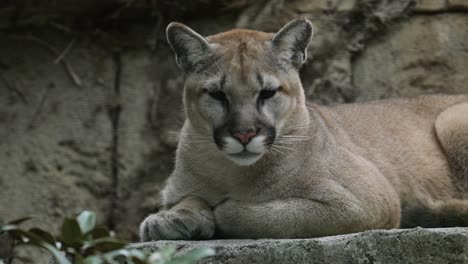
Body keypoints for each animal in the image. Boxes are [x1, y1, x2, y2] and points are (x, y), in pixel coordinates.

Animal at [139, 17, 468, 240]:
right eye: (217, 94)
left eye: (268, 92)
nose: (244, 134)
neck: (232, 172)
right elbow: (185, 197)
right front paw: (170, 218)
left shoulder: (366, 200)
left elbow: (273, 215)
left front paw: (215, 213)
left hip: (451, 120)